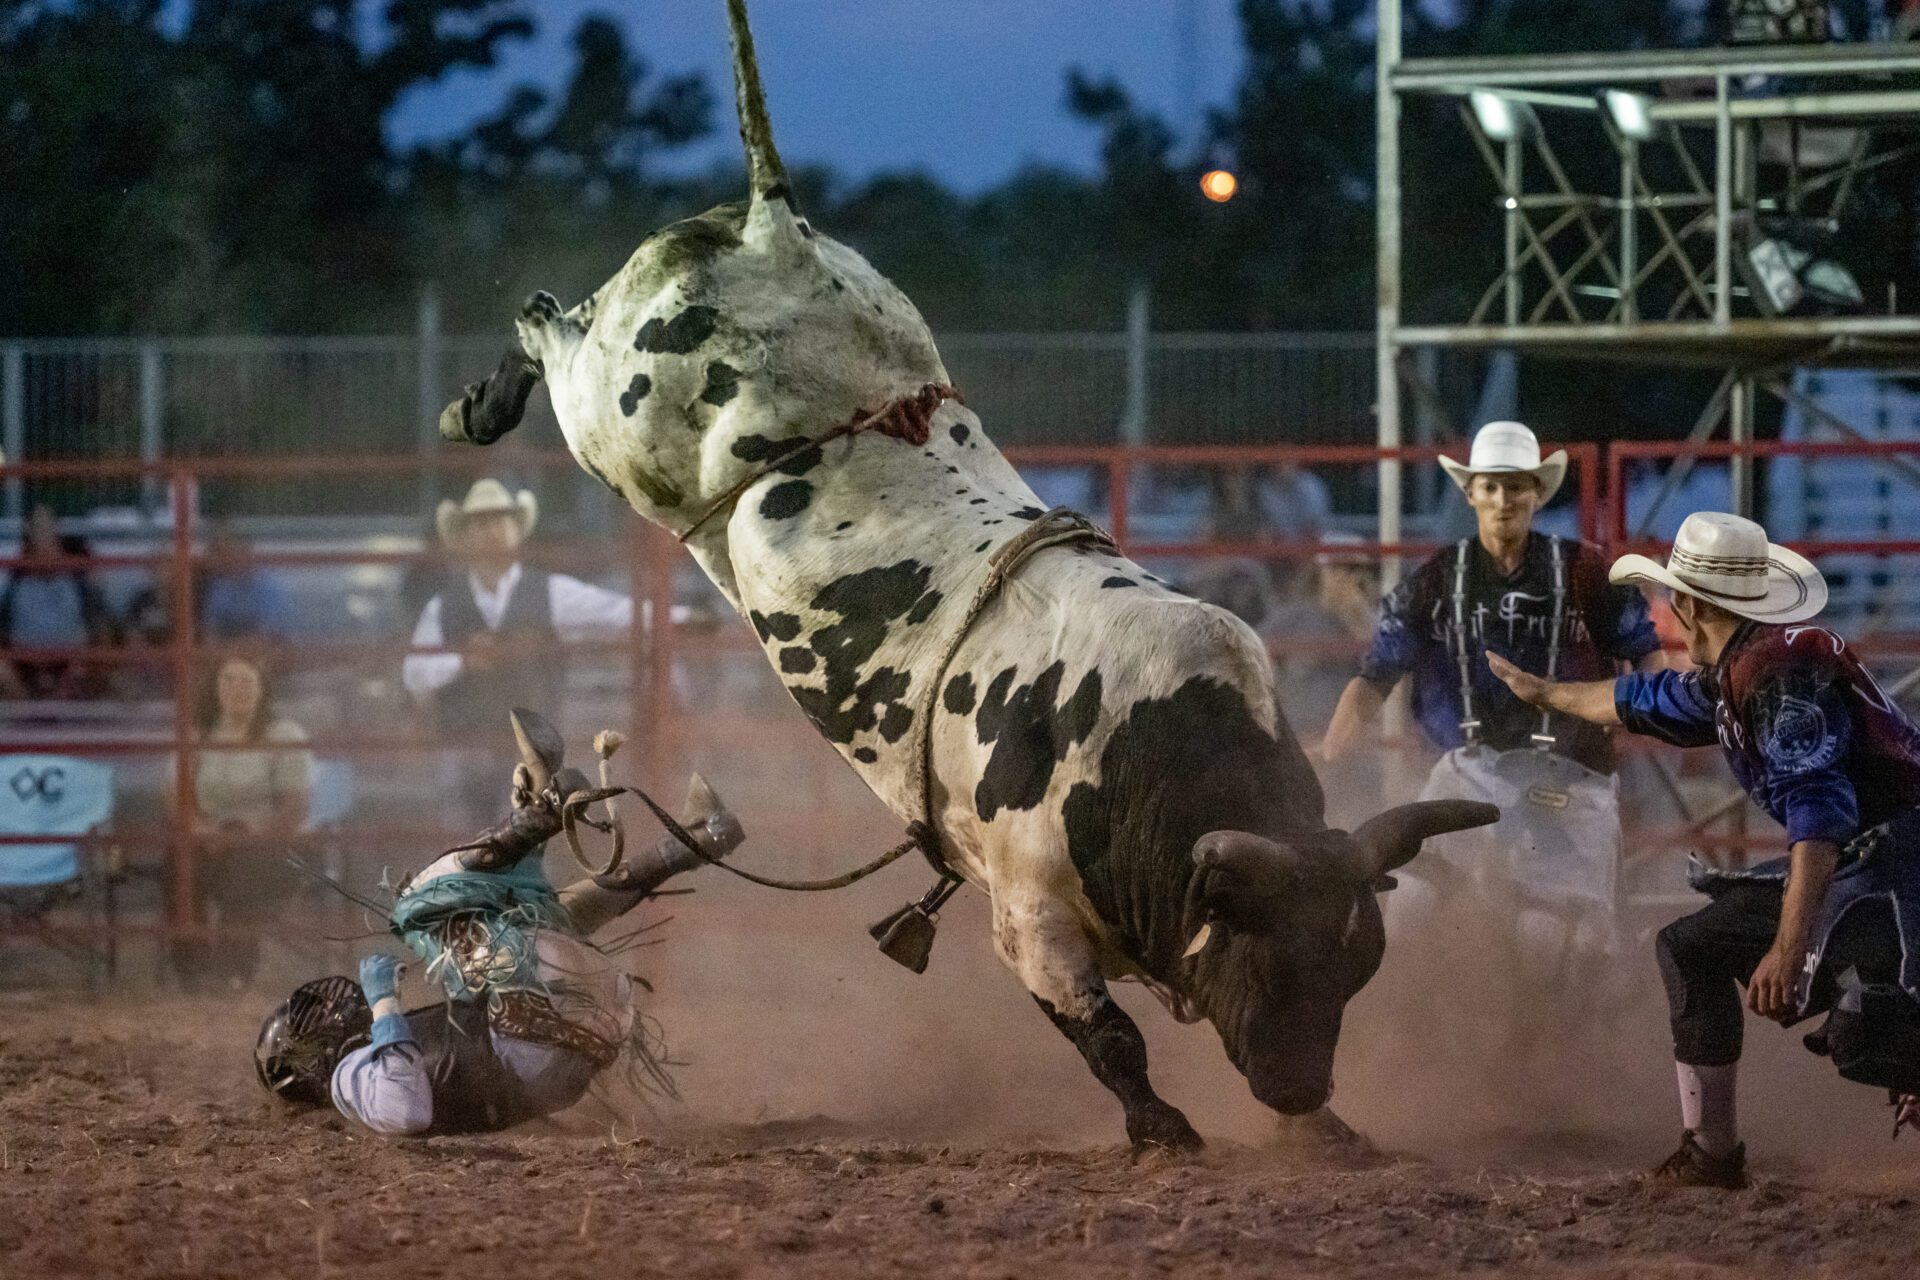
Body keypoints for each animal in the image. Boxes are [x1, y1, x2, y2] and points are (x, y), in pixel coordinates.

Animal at [439, 0, 1497, 1159]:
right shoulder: (1030, 918)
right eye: (1268, 951)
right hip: (612, 411)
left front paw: (1335, 1131)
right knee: (547, 324)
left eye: (1355, 966)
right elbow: (1108, 1035)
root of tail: (776, 226)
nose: (1300, 1088)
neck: (1142, 750)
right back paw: (474, 407)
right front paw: (1163, 1126)